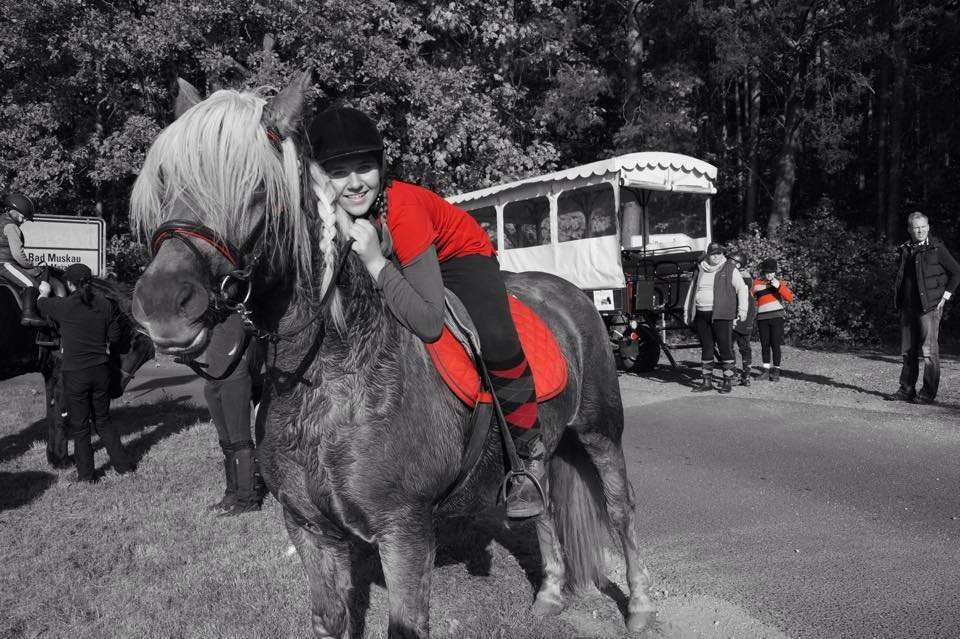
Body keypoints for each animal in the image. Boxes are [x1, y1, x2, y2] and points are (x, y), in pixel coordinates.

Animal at [128, 73, 656, 638]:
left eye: (256, 187)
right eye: (165, 181)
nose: (162, 306)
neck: (333, 379)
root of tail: (570, 294)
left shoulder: (404, 530)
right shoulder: (310, 529)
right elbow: (331, 619)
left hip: (601, 433)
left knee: (622, 511)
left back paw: (640, 606)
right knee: (544, 508)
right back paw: (551, 593)